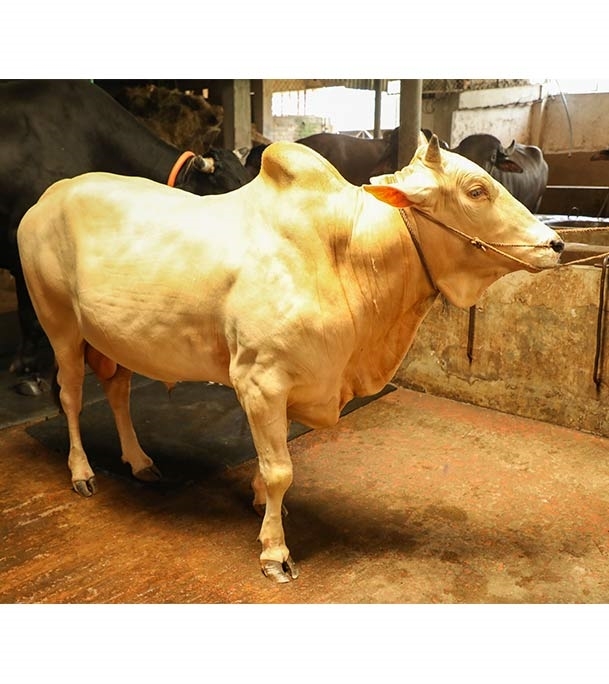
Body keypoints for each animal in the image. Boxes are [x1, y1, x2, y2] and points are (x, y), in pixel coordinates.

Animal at [17, 136, 564, 583]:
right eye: (476, 190)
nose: (556, 243)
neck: (348, 256)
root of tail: (47, 198)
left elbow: (272, 460)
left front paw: (262, 502)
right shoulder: (260, 379)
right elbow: (281, 468)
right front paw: (274, 552)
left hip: (116, 337)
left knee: (117, 391)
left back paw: (139, 461)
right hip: (58, 325)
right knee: (69, 395)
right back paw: (82, 472)